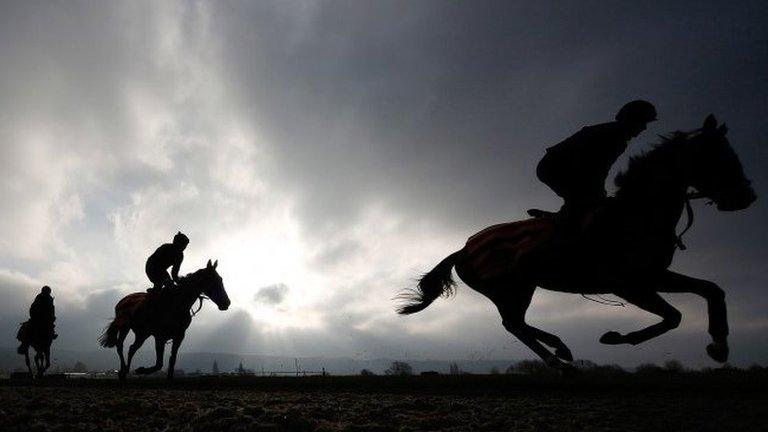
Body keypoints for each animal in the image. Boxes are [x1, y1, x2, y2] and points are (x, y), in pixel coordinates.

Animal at [97, 260, 228, 378]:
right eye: (213, 280)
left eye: (220, 279)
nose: (226, 303)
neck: (177, 304)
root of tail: (121, 302)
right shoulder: (160, 336)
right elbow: (159, 363)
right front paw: (141, 370)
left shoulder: (179, 335)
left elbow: (172, 360)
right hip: (125, 327)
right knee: (120, 346)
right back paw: (123, 370)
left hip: (142, 333)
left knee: (132, 348)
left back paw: (126, 370)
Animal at [400, 115, 760, 368]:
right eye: (719, 157)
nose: (747, 197)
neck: (639, 212)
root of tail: (463, 248)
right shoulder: (628, 284)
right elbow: (674, 317)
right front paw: (615, 337)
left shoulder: (654, 275)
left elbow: (712, 290)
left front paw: (719, 346)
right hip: (508, 289)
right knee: (514, 324)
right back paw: (560, 360)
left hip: (520, 288)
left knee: (517, 323)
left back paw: (561, 349)